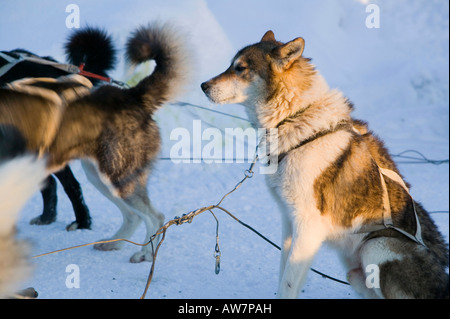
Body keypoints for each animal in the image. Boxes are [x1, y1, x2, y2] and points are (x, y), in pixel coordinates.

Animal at [0, 21, 188, 262]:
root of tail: (131, 95)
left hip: (119, 177)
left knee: (155, 216)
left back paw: (146, 253)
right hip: (100, 177)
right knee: (133, 216)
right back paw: (113, 243)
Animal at [202, 31, 448, 298]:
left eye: (240, 68)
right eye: (231, 65)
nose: (203, 86)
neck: (296, 117)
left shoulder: (308, 227)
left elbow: (288, 285)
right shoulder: (289, 222)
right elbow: (283, 276)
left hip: (375, 246)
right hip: (354, 274)